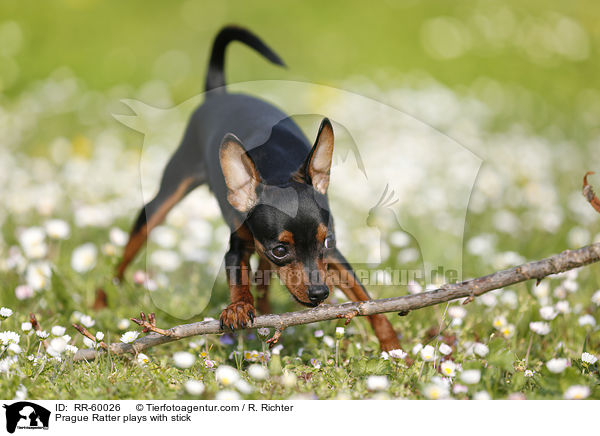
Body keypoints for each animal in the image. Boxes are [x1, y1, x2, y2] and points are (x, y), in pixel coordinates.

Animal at [115, 25, 400, 350]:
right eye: (281, 250)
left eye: (326, 242)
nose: (320, 294)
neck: (276, 168)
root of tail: (220, 94)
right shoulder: (237, 248)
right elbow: (240, 280)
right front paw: (239, 307)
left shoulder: (334, 257)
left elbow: (365, 299)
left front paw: (394, 348)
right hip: (165, 196)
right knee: (128, 251)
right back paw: (105, 298)